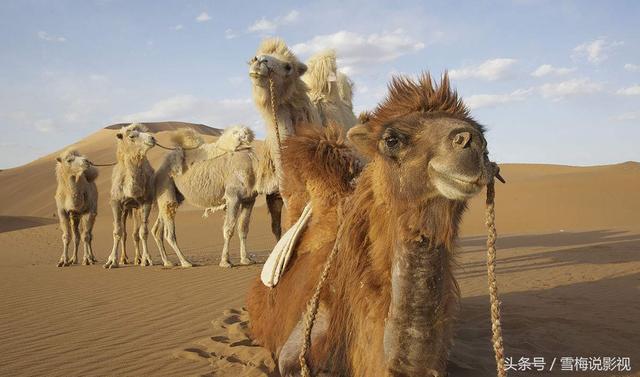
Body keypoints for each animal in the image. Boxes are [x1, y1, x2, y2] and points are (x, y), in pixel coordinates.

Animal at [104, 122, 157, 268]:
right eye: (132, 136)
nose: (152, 138)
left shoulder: (146, 202)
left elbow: (143, 232)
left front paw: (146, 259)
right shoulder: (116, 202)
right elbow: (117, 232)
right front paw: (112, 261)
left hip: (135, 208)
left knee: (135, 234)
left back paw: (137, 258)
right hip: (125, 209)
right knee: (124, 233)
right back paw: (123, 259)